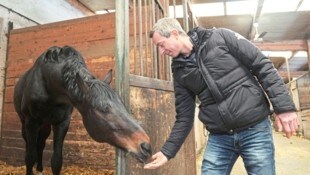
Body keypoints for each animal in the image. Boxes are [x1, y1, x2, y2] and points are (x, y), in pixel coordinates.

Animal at [13, 45, 153, 175]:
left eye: (122, 104)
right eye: (104, 110)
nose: (146, 147)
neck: (49, 83)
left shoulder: (62, 123)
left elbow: (56, 161)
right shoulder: (31, 122)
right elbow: (30, 157)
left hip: (46, 124)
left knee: (41, 143)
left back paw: (40, 169)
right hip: (25, 123)